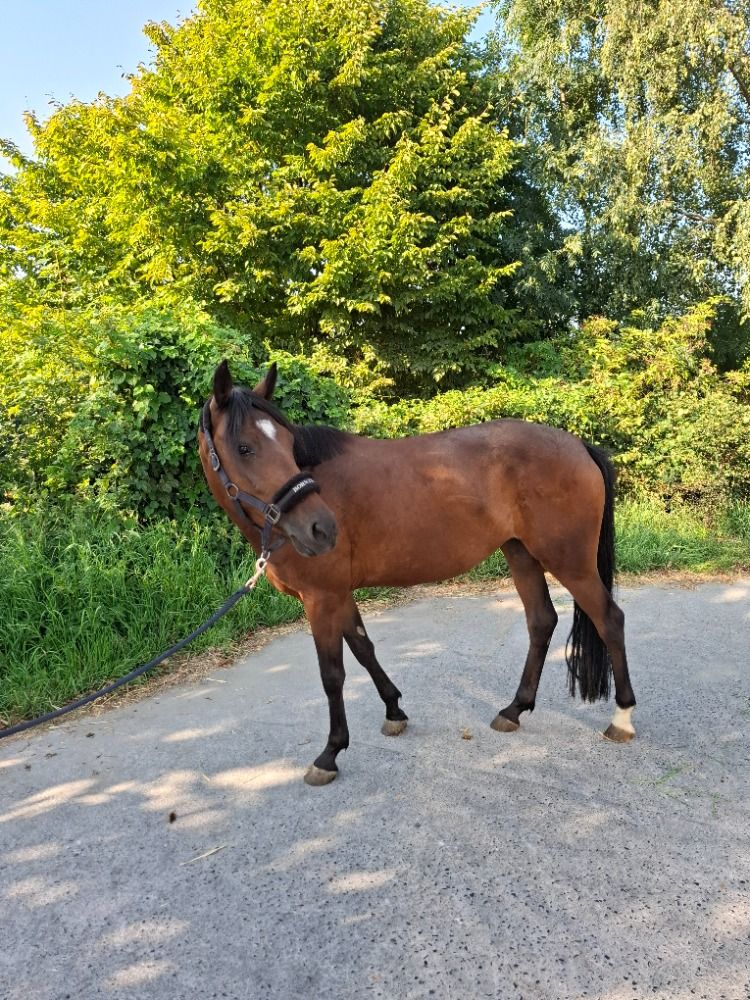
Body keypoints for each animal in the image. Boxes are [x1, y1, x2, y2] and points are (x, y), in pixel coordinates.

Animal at [198, 361, 637, 786]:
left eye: (289, 446)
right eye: (245, 447)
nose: (321, 529)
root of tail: (578, 445)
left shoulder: (321, 598)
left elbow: (333, 675)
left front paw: (330, 753)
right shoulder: (339, 595)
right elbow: (364, 649)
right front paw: (394, 711)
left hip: (570, 562)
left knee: (609, 620)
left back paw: (622, 718)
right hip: (522, 554)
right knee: (541, 622)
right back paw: (514, 709)